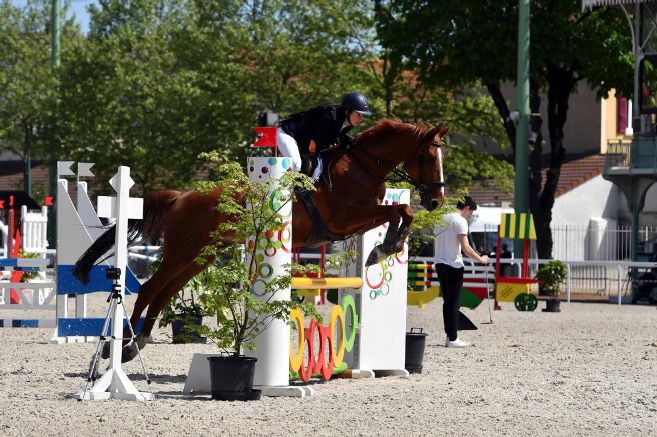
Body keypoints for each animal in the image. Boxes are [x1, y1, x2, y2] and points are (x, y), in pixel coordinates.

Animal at [74, 116, 448, 362]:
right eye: (430, 156)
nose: (436, 201)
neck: (363, 165)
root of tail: (182, 196)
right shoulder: (344, 218)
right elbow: (399, 210)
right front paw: (387, 247)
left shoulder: (354, 222)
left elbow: (400, 211)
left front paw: (384, 248)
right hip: (182, 251)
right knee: (151, 289)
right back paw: (119, 347)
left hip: (201, 257)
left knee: (166, 292)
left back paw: (138, 341)